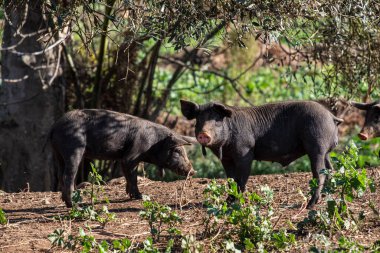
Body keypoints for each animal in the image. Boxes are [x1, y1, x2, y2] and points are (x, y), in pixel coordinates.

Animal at [49, 109, 197, 208]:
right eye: (177, 151)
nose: (193, 171)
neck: (154, 143)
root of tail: (55, 126)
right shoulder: (132, 156)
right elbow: (133, 177)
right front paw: (141, 197)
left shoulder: (123, 158)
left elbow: (127, 176)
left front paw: (131, 195)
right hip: (74, 148)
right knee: (68, 176)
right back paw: (76, 206)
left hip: (58, 153)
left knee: (61, 175)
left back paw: (71, 201)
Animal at [180, 100, 342, 209]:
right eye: (198, 120)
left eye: (216, 120)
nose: (203, 134)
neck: (224, 147)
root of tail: (331, 116)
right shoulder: (226, 159)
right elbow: (231, 180)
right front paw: (228, 201)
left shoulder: (245, 152)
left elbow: (241, 179)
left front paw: (237, 202)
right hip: (326, 151)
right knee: (330, 169)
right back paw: (325, 196)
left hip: (317, 147)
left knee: (319, 173)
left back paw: (310, 204)